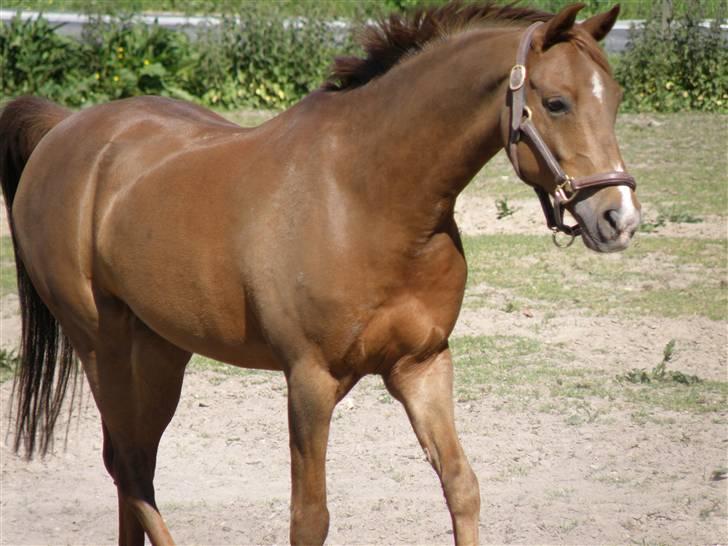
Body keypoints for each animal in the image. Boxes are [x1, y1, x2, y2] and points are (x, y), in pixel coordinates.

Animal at [0, 2, 640, 544]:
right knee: (128, 465)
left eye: (613, 100)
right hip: (98, 344)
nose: (620, 219)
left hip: (160, 350)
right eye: (556, 102)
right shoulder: (309, 381)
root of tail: (64, 129)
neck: (366, 197)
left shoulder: (422, 365)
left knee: (135, 462)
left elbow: (462, 486)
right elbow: (310, 518)